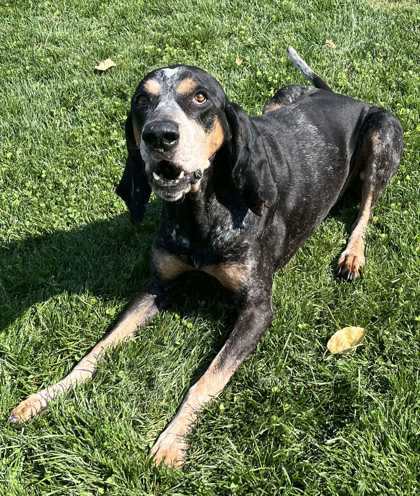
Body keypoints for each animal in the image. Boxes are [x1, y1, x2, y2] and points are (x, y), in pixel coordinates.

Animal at [10, 47, 404, 468]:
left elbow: (206, 381)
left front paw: (170, 441)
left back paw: (352, 254)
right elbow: (96, 351)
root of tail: (338, 95)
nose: (159, 135)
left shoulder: (257, 309)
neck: (199, 210)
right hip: (280, 96)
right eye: (142, 101)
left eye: (200, 97)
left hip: (382, 135)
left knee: (366, 208)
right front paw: (43, 397)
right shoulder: (156, 286)